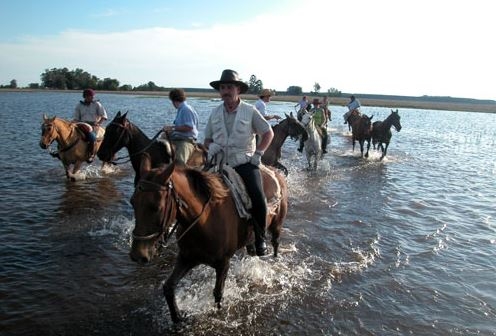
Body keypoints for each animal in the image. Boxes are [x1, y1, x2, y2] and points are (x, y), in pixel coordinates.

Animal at [130, 154, 288, 322]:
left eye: (156, 207)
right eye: (132, 202)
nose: (137, 255)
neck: (205, 220)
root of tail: (276, 172)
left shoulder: (223, 264)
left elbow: (218, 293)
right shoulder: (187, 258)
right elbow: (168, 287)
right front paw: (178, 317)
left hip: (277, 226)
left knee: (275, 243)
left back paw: (274, 260)